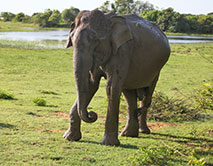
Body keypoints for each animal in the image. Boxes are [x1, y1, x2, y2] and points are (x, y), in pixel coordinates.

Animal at [62, 9, 170, 146]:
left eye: (96, 41)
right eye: (71, 40)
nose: (92, 114)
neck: (108, 20)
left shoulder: (123, 50)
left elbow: (111, 88)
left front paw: (109, 144)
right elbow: (91, 85)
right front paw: (69, 138)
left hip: (157, 70)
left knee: (146, 96)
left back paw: (142, 130)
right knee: (129, 96)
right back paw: (129, 133)